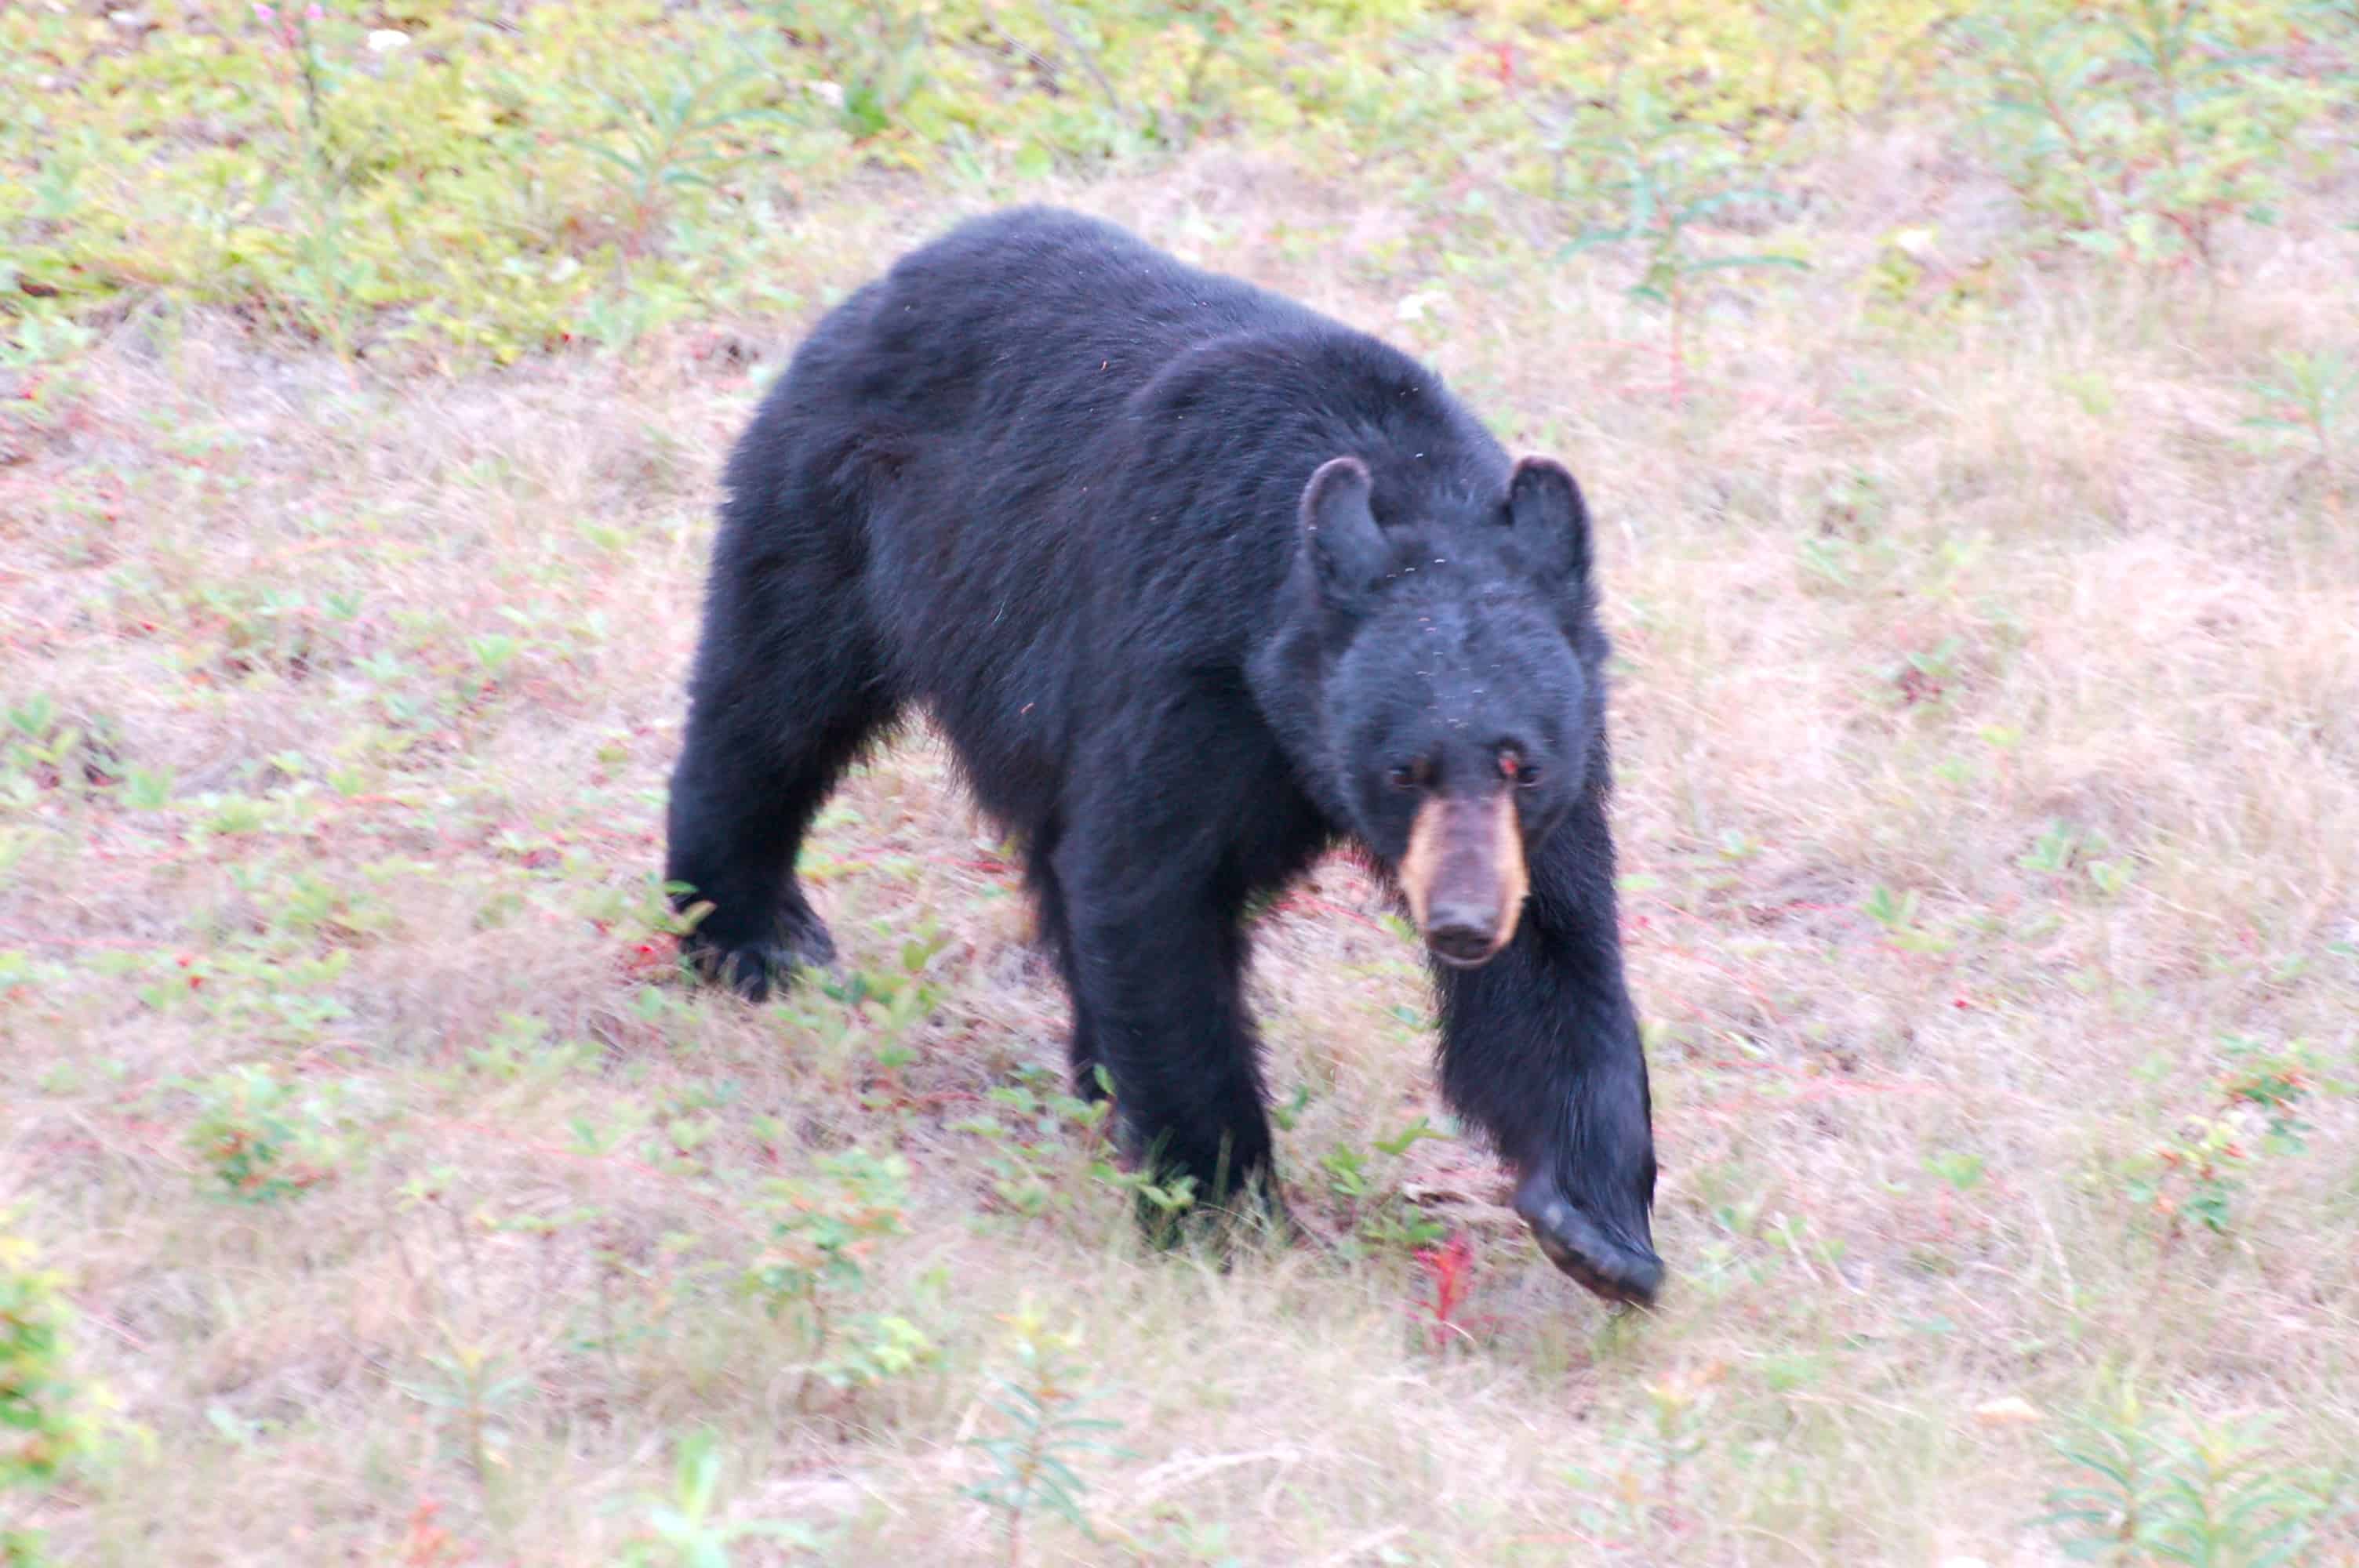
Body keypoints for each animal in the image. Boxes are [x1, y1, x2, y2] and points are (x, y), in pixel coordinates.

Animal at [663, 206, 1664, 1306]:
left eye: (1522, 763)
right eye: (1402, 768)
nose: (1461, 922)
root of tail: (889, 277)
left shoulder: (1558, 747)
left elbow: (1556, 947)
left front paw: (1596, 1226)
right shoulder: (1188, 665)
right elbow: (1150, 889)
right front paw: (1221, 1209)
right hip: (845, 515)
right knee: (773, 704)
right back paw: (748, 932)